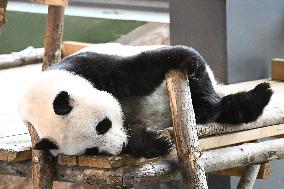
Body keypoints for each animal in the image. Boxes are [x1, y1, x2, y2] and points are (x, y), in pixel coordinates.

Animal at [18, 43, 272, 159]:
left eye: (102, 125)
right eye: (92, 150)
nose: (119, 147)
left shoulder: (85, 67)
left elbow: (134, 74)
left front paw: (188, 59)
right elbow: (134, 130)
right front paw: (156, 142)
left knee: (206, 95)